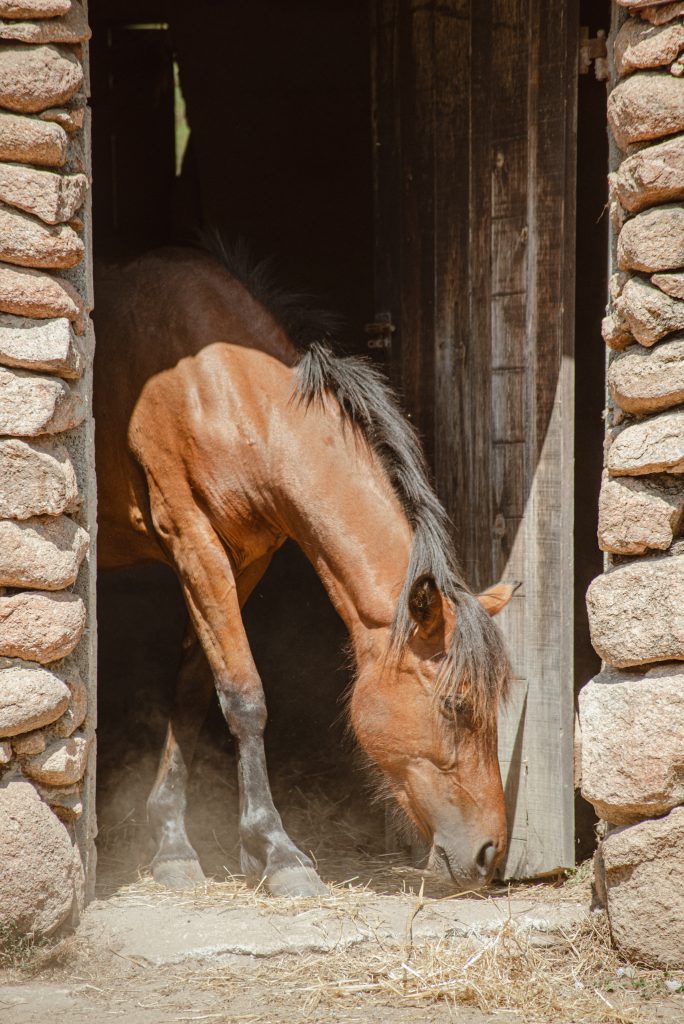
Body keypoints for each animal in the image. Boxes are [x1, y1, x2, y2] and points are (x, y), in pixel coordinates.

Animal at [93, 240, 516, 897]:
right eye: (453, 705)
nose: (489, 855)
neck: (225, 394)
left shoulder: (243, 562)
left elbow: (193, 691)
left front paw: (173, 844)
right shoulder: (194, 545)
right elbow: (244, 697)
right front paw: (278, 851)